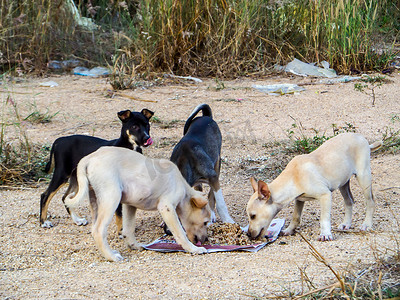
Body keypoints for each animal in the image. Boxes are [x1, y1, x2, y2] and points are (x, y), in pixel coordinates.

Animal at [64, 146, 211, 262]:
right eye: (205, 222)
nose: (206, 240)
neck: (183, 188)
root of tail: (89, 158)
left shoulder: (130, 205)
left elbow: (128, 230)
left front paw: (133, 246)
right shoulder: (166, 207)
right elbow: (180, 233)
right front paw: (193, 249)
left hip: (96, 201)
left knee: (94, 228)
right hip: (111, 198)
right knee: (99, 230)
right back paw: (111, 256)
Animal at [247, 134, 382, 241]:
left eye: (253, 216)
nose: (248, 234)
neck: (294, 176)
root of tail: (363, 139)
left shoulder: (325, 195)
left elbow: (324, 218)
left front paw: (325, 234)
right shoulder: (299, 200)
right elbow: (296, 217)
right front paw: (289, 230)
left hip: (363, 177)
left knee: (370, 201)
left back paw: (367, 225)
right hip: (343, 183)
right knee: (349, 201)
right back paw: (346, 224)